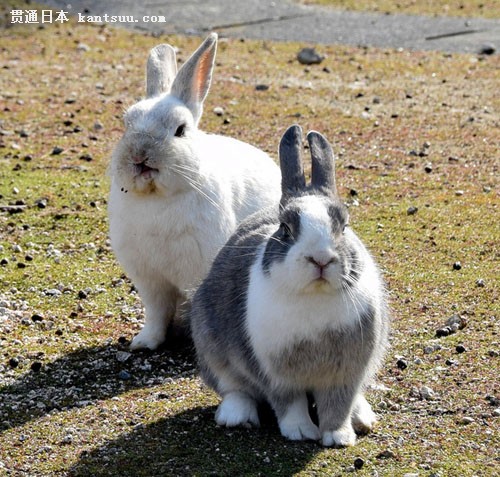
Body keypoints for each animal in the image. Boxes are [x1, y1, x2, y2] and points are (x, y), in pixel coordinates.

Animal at [108, 33, 281, 350]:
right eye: (126, 124)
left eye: (180, 130)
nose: (140, 155)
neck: (158, 197)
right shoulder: (150, 280)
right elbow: (156, 312)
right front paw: (144, 342)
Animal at [190, 125, 390, 447]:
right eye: (285, 229)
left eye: (344, 226)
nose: (321, 259)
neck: (313, 296)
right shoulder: (276, 373)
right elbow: (289, 404)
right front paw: (300, 432)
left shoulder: (346, 373)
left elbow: (338, 405)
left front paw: (338, 437)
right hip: (209, 342)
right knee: (235, 387)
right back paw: (237, 416)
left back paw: (363, 417)